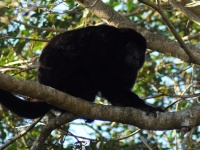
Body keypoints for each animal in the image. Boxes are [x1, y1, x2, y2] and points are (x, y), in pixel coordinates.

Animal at [0, 25, 163, 120]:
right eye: (132, 46)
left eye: (141, 51)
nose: (137, 57)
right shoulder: (105, 41)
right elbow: (97, 71)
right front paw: (139, 105)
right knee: (84, 76)